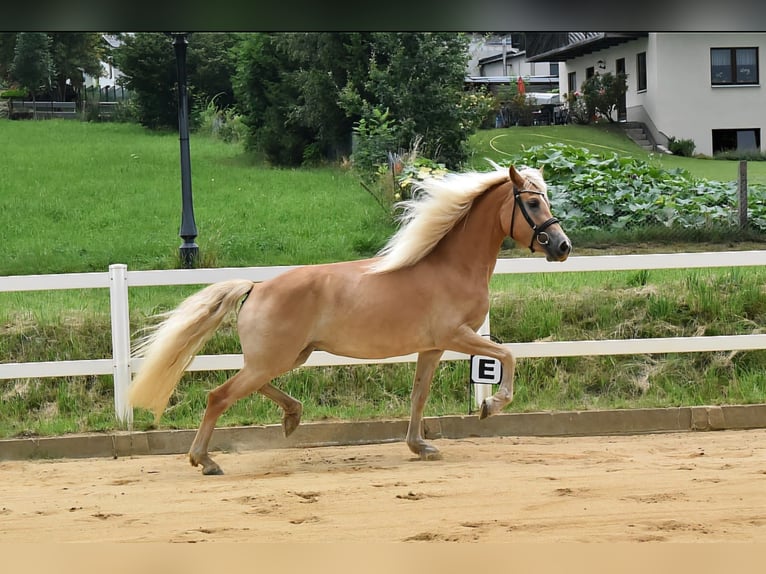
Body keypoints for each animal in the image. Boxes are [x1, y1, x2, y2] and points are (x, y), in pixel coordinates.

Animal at [129, 163, 568, 476]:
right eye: (532, 204)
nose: (563, 247)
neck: (450, 267)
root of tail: (256, 287)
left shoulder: (432, 347)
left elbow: (419, 395)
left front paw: (420, 447)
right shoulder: (457, 336)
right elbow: (508, 355)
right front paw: (490, 405)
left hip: (289, 356)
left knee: (252, 386)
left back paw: (292, 417)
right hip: (275, 358)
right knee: (219, 396)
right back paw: (205, 460)